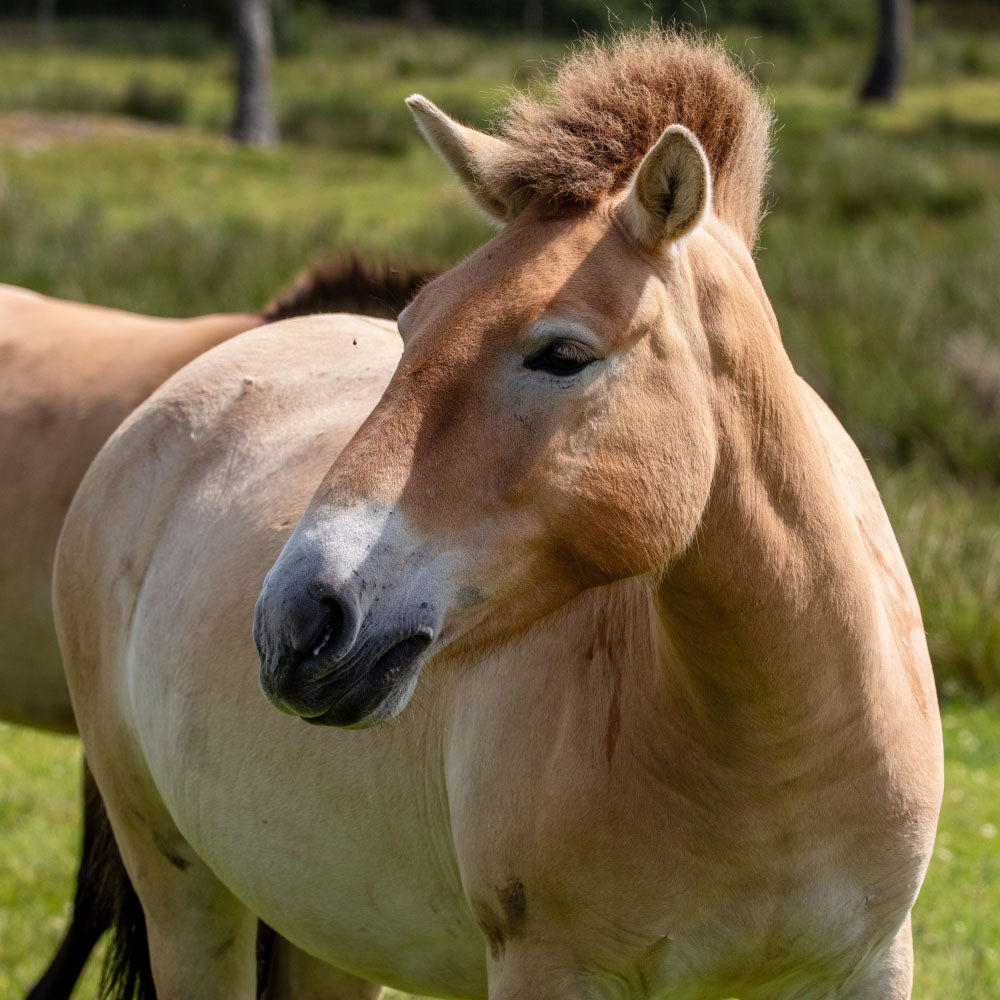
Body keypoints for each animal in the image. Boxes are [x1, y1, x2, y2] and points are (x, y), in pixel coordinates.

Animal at [55, 29, 943, 1000]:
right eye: (408, 328)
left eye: (562, 355)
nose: (297, 623)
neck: (776, 758)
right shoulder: (547, 966)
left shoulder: (872, 964)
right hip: (180, 885)